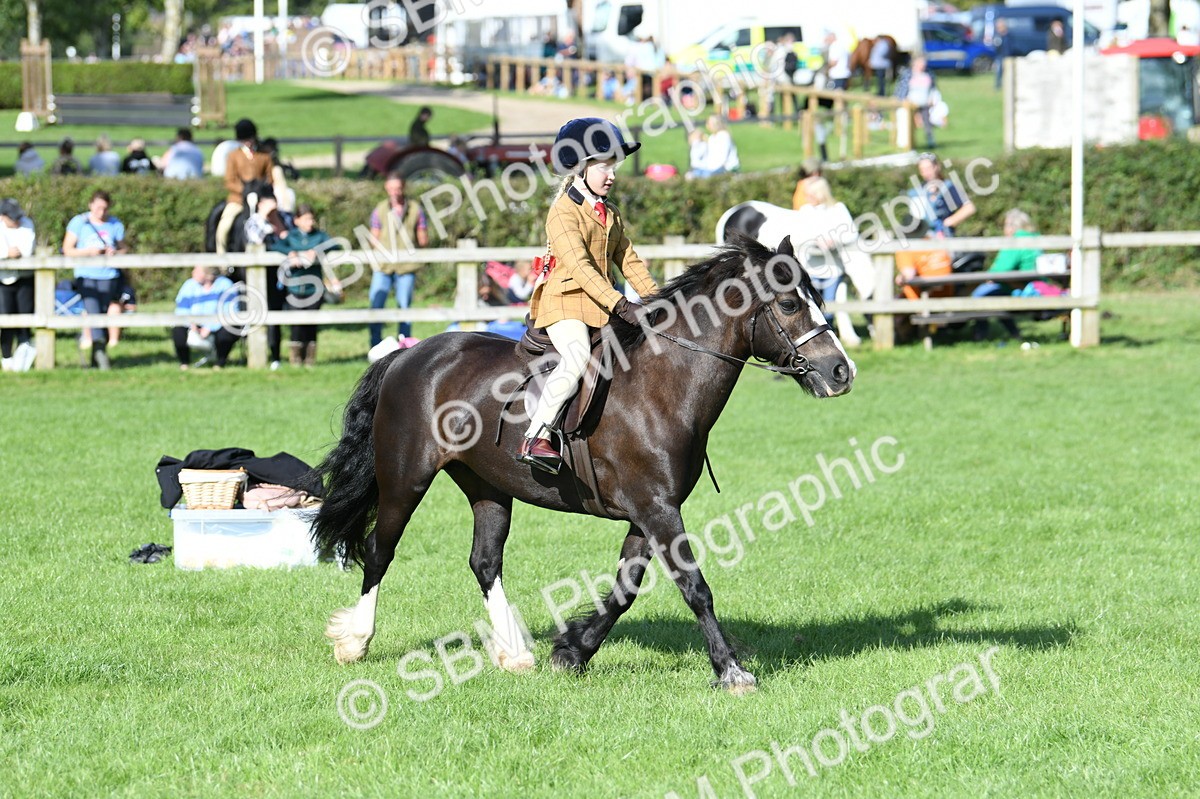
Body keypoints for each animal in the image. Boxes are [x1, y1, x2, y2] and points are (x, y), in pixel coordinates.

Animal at [310, 235, 856, 692]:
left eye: (816, 295)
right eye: (789, 303)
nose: (841, 371)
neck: (663, 383)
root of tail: (407, 356)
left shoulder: (650, 510)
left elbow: (625, 589)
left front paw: (573, 651)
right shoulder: (657, 510)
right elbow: (695, 587)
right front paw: (732, 671)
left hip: (487, 485)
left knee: (484, 561)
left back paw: (514, 655)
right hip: (405, 479)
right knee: (380, 551)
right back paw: (355, 641)